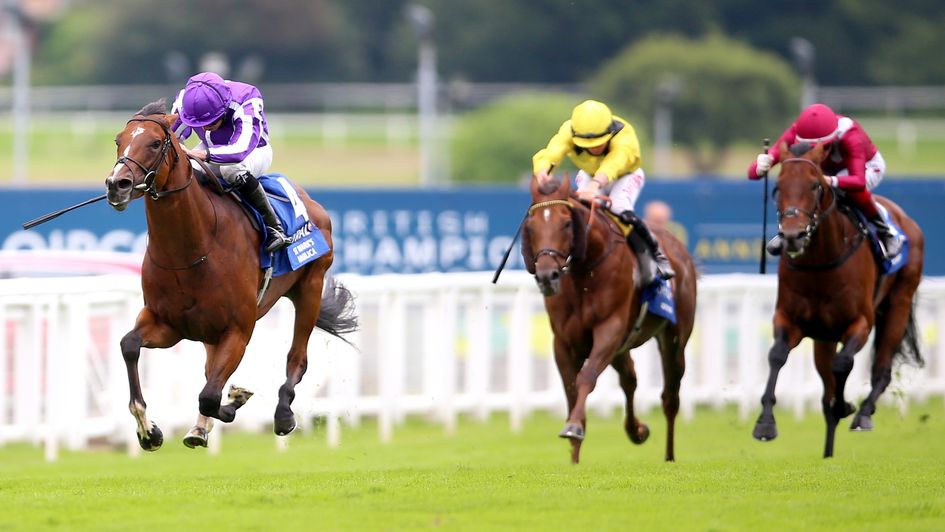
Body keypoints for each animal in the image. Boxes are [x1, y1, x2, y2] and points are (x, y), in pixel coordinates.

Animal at [101, 100, 356, 448]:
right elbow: (129, 345)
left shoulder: (237, 330)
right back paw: (200, 426)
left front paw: (235, 401)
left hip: (310, 286)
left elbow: (209, 396)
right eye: (118, 140)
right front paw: (148, 430)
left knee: (297, 358)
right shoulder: (167, 324)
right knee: (211, 370)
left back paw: (282, 414)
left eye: (154, 143)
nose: (117, 185)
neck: (191, 250)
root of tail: (309, 200)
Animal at [520, 176, 696, 462]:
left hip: (674, 338)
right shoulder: (564, 342)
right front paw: (574, 456)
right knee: (630, 379)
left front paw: (574, 427)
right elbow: (571, 390)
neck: (584, 270)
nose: (547, 276)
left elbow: (587, 376)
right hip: (621, 348)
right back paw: (637, 430)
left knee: (670, 396)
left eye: (566, 223)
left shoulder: (609, 329)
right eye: (531, 225)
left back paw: (669, 457)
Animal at [752, 141, 920, 458]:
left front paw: (846, 406)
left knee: (881, 370)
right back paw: (828, 449)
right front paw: (765, 423)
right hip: (823, 338)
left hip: (899, 304)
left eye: (815, 185)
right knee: (827, 388)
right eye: (778, 187)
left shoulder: (860, 322)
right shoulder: (789, 319)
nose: (792, 236)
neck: (822, 262)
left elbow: (843, 365)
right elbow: (777, 356)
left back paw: (863, 413)